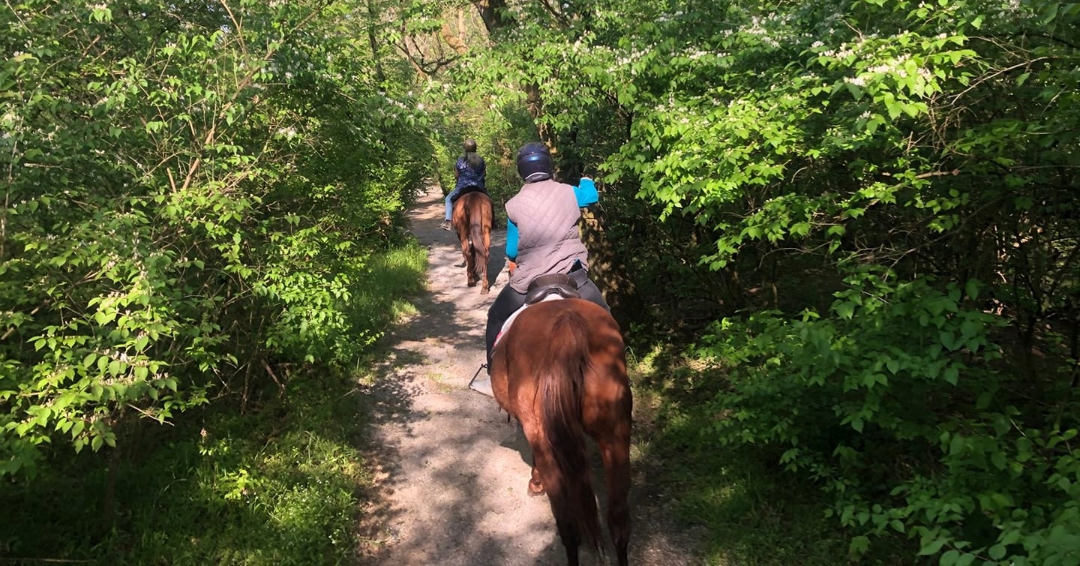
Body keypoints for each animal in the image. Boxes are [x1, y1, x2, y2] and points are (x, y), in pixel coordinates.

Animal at [490, 298, 630, 561]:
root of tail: (568, 327)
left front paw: (536, 483)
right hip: (615, 431)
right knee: (618, 520)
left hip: (541, 432)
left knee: (567, 526)